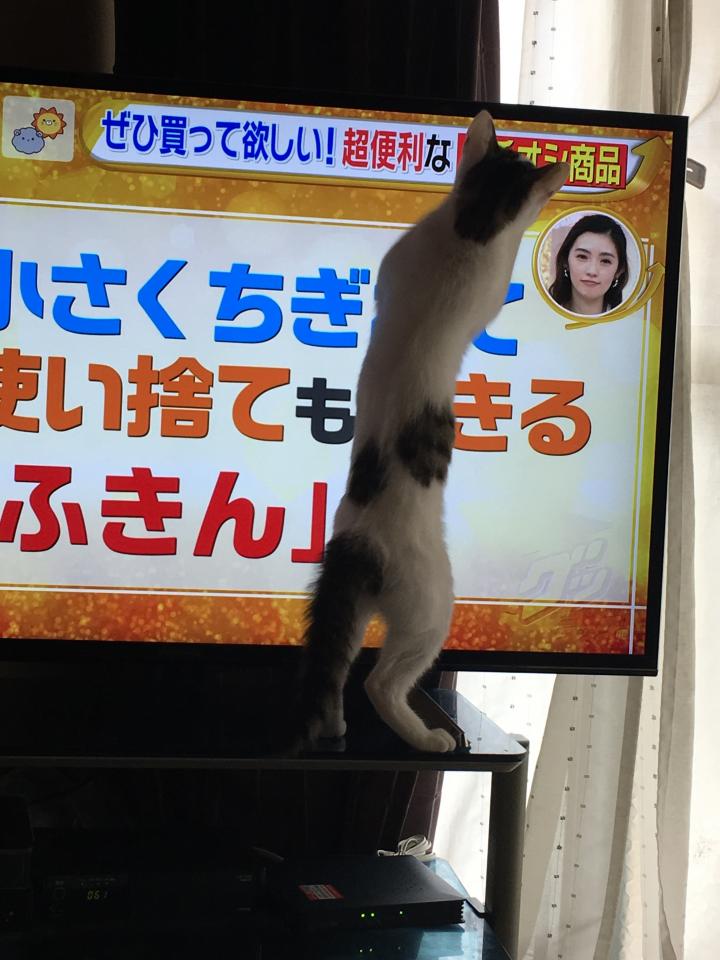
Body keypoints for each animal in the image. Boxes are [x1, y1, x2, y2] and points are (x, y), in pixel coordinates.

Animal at [295, 112, 569, 753]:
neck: (470, 223)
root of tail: (361, 543)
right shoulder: (487, 287)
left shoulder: (397, 261)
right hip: (431, 608)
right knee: (381, 681)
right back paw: (428, 737)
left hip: (343, 608)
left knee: (335, 666)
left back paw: (335, 724)